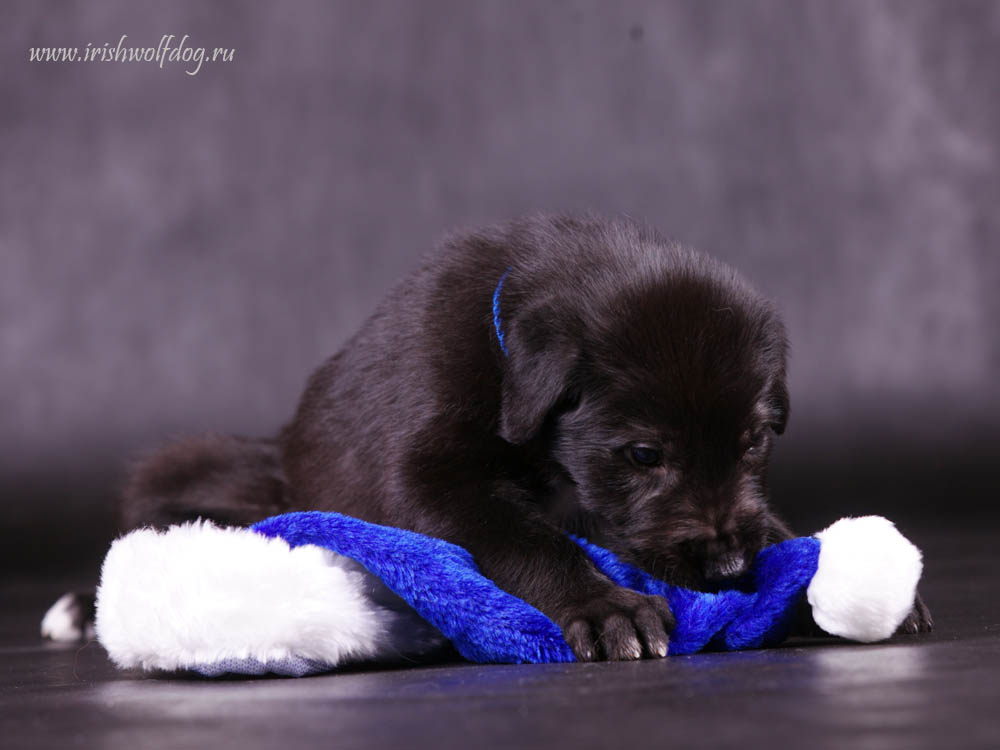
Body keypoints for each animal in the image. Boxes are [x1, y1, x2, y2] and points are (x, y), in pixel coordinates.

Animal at [70, 216, 928, 656]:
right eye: (643, 455)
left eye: (754, 442)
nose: (726, 568)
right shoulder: (430, 482)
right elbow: (526, 538)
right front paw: (606, 606)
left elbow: (777, 524)